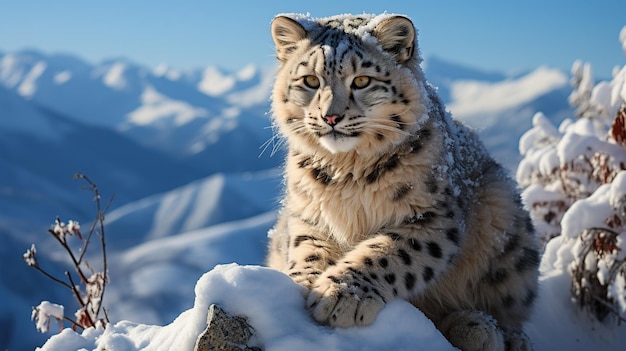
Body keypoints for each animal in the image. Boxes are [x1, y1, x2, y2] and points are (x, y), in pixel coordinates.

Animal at [264, 13, 536, 351]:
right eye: (310, 81)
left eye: (362, 81)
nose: (331, 117)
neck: (346, 170)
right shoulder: (308, 213)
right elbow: (307, 248)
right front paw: (300, 283)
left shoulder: (431, 216)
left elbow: (388, 253)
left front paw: (341, 295)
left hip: (506, 224)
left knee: (507, 307)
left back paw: (486, 330)